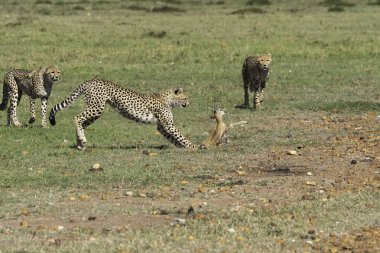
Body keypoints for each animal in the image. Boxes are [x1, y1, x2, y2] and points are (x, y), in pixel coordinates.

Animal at [49, 79, 202, 149]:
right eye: (185, 98)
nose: (188, 103)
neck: (168, 99)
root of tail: (91, 80)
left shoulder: (161, 126)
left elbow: (173, 138)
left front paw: (182, 147)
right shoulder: (168, 124)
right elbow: (180, 136)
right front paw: (194, 146)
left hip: (96, 110)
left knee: (82, 123)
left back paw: (80, 143)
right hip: (97, 107)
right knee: (77, 117)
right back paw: (81, 140)